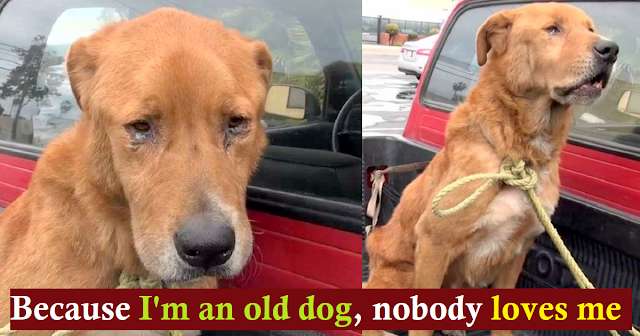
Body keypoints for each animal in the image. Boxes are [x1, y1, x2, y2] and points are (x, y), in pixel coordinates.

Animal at [368, 3, 616, 336]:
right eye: (553, 29)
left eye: (590, 29)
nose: (611, 49)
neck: (518, 154)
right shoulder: (434, 242)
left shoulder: (518, 249)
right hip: (403, 277)